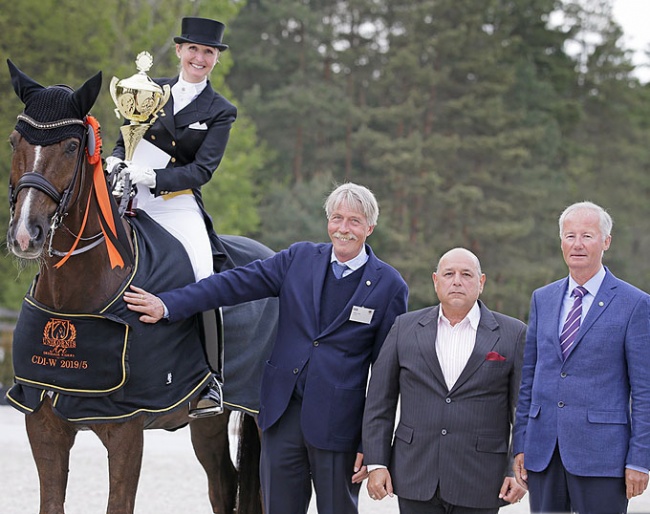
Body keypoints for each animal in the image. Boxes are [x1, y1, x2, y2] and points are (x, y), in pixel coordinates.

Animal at [4, 61, 276, 512]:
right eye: (14, 140)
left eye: (71, 148)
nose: (27, 234)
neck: (76, 298)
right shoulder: (43, 421)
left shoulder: (126, 430)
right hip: (209, 424)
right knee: (224, 483)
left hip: (261, 412)